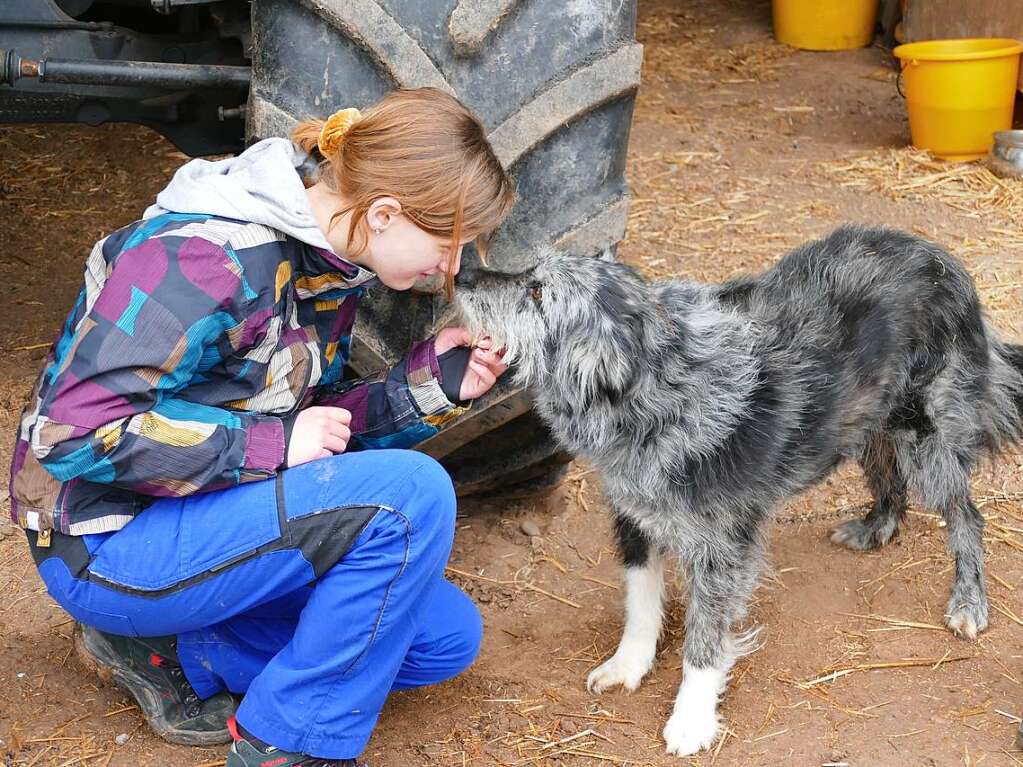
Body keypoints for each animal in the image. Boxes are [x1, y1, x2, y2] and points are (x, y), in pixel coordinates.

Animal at [456, 224, 1023, 760]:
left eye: (537, 292)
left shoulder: (724, 551)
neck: (662, 387)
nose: (461, 275)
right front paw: (628, 664)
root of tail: (942, 258)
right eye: (529, 274)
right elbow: (640, 602)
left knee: (967, 516)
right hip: (866, 417)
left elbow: (705, 642)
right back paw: (875, 527)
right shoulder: (634, 517)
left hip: (929, 437)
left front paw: (692, 719)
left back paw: (968, 603)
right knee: (889, 477)